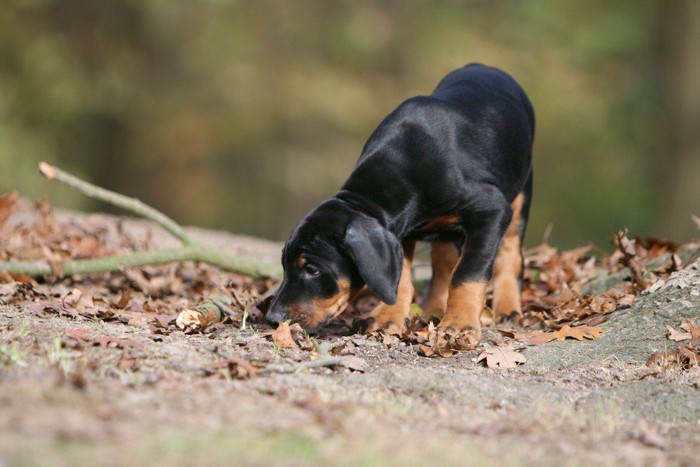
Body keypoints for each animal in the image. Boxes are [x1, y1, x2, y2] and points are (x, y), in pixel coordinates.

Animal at [266, 63, 532, 348]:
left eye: (311, 269)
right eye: (284, 265)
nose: (272, 319)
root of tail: (484, 66)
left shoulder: (491, 211)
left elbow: (468, 273)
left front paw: (459, 324)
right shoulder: (399, 230)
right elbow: (401, 274)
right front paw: (388, 317)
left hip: (519, 193)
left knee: (510, 253)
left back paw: (508, 308)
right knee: (444, 260)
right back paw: (433, 307)